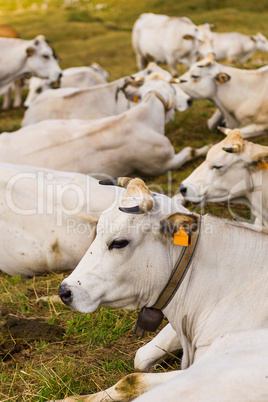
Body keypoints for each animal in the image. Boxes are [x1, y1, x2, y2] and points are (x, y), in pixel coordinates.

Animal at [0, 73, 207, 177]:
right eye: (174, 88)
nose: (189, 101)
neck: (144, 117)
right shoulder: (162, 163)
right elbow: (190, 151)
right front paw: (206, 148)